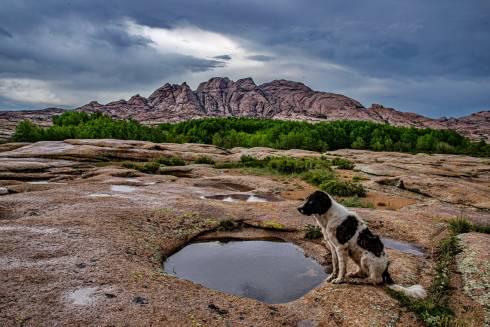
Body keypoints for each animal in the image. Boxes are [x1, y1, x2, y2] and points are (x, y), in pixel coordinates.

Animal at [296, 190, 426, 300]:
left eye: (311, 201)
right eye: (306, 199)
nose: (298, 208)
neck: (328, 216)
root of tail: (386, 271)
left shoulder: (341, 247)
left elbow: (342, 267)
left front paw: (339, 280)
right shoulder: (333, 247)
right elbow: (335, 264)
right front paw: (332, 276)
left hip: (365, 257)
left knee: (375, 280)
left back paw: (359, 281)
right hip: (356, 256)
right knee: (363, 272)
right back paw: (355, 274)